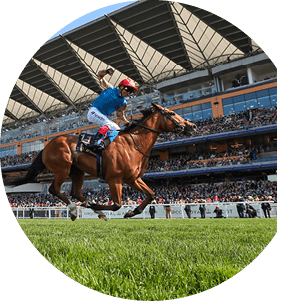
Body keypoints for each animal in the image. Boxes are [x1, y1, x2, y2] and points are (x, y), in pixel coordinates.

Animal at [5, 102, 197, 219]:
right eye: (172, 113)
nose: (193, 126)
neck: (133, 144)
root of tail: (47, 145)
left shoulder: (132, 179)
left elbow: (151, 194)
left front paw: (132, 211)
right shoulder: (115, 179)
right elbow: (117, 204)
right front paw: (103, 207)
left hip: (78, 171)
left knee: (75, 191)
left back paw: (89, 204)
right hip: (62, 169)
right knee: (54, 189)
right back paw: (75, 209)